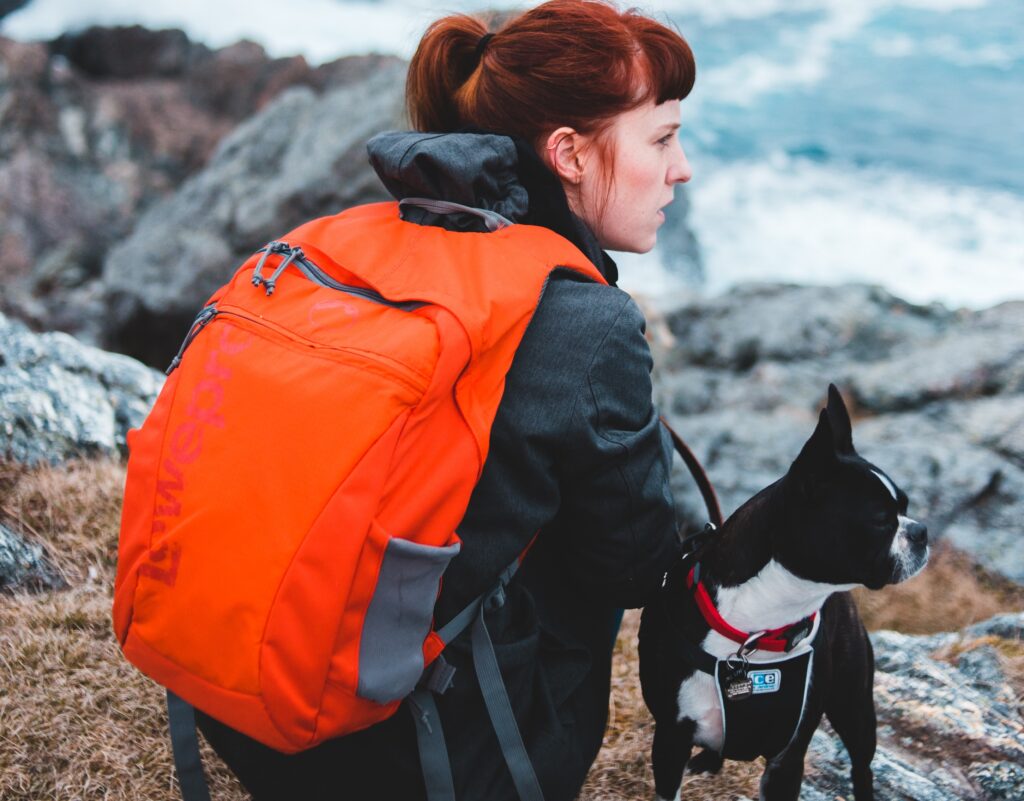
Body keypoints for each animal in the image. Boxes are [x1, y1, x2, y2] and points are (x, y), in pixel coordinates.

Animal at [638, 385, 929, 801]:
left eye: (905, 506)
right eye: (880, 521)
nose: (921, 532)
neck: (755, 631)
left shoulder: (787, 759)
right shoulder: (669, 739)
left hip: (854, 706)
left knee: (862, 765)